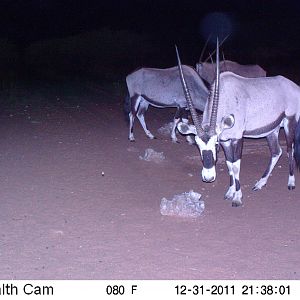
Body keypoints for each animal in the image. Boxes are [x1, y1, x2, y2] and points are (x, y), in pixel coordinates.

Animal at [176, 41, 300, 206]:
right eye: (197, 144)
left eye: (215, 145)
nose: (208, 178)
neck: (225, 96)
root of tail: (294, 87)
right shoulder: (226, 140)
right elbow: (229, 164)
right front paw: (230, 191)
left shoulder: (237, 138)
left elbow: (236, 166)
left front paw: (237, 197)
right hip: (272, 130)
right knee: (276, 152)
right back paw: (260, 183)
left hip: (289, 122)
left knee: (289, 149)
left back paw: (291, 182)